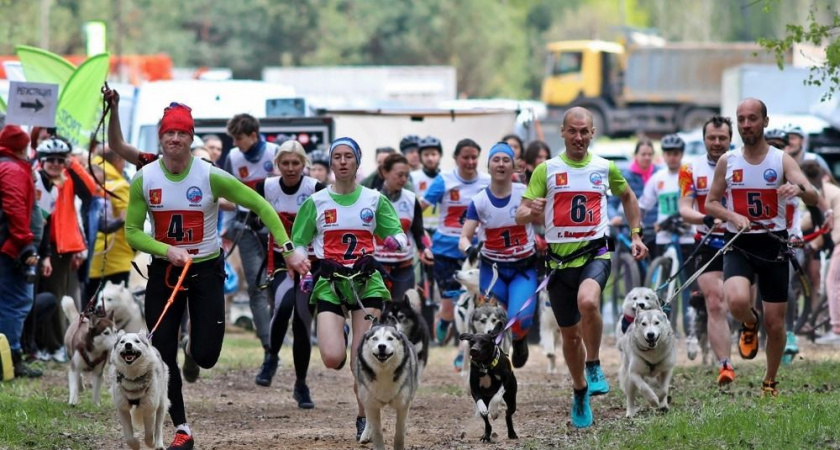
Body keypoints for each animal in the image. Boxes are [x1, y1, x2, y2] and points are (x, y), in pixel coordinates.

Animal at [354, 320, 420, 450]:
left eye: (390, 338)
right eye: (375, 338)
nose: (382, 346)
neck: (384, 372)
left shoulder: (403, 404)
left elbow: (399, 431)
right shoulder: (371, 403)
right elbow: (377, 432)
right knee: (368, 417)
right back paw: (365, 434)